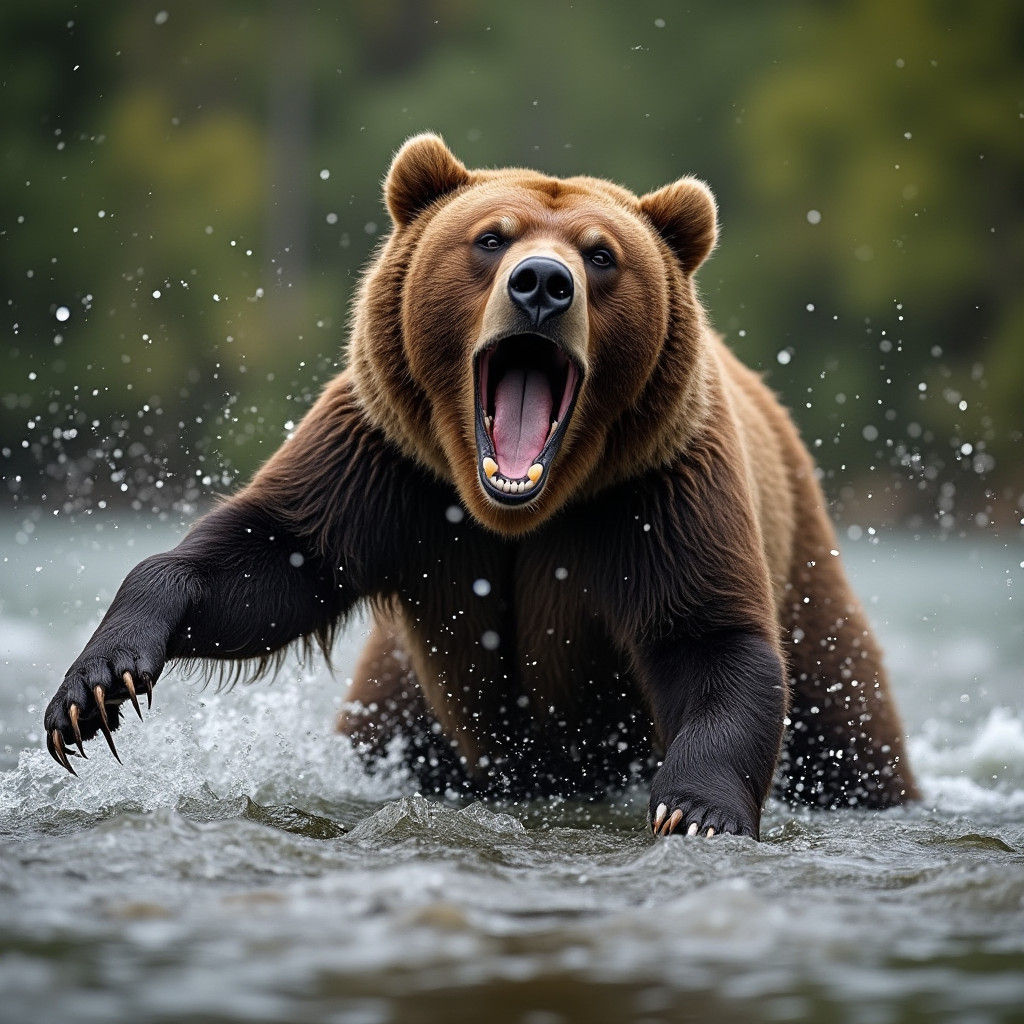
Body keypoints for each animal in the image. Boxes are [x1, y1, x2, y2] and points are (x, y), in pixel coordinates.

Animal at [43, 134, 918, 840]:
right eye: (491, 239)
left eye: (601, 254)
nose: (542, 284)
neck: (517, 507)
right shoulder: (387, 466)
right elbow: (269, 556)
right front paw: (94, 689)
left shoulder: (656, 491)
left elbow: (710, 639)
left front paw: (696, 810)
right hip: (402, 702)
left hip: (810, 592)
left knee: (849, 730)